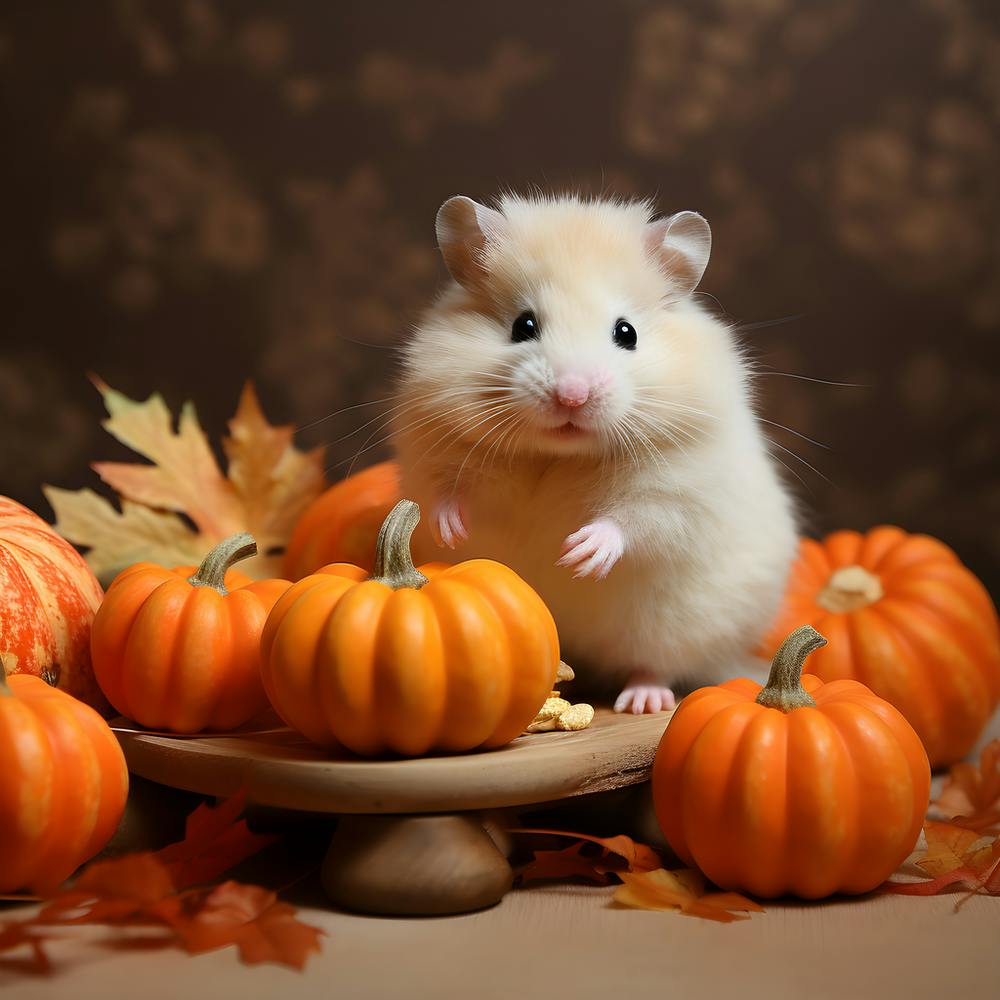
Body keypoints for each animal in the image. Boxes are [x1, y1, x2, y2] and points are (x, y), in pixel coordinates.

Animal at [389, 193, 798, 713]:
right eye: (523, 325)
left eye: (627, 333)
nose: (572, 395)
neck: (560, 455)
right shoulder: (434, 447)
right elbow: (445, 493)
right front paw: (451, 532)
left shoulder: (680, 485)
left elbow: (634, 521)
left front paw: (578, 553)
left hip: (677, 628)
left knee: (656, 664)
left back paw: (641, 701)